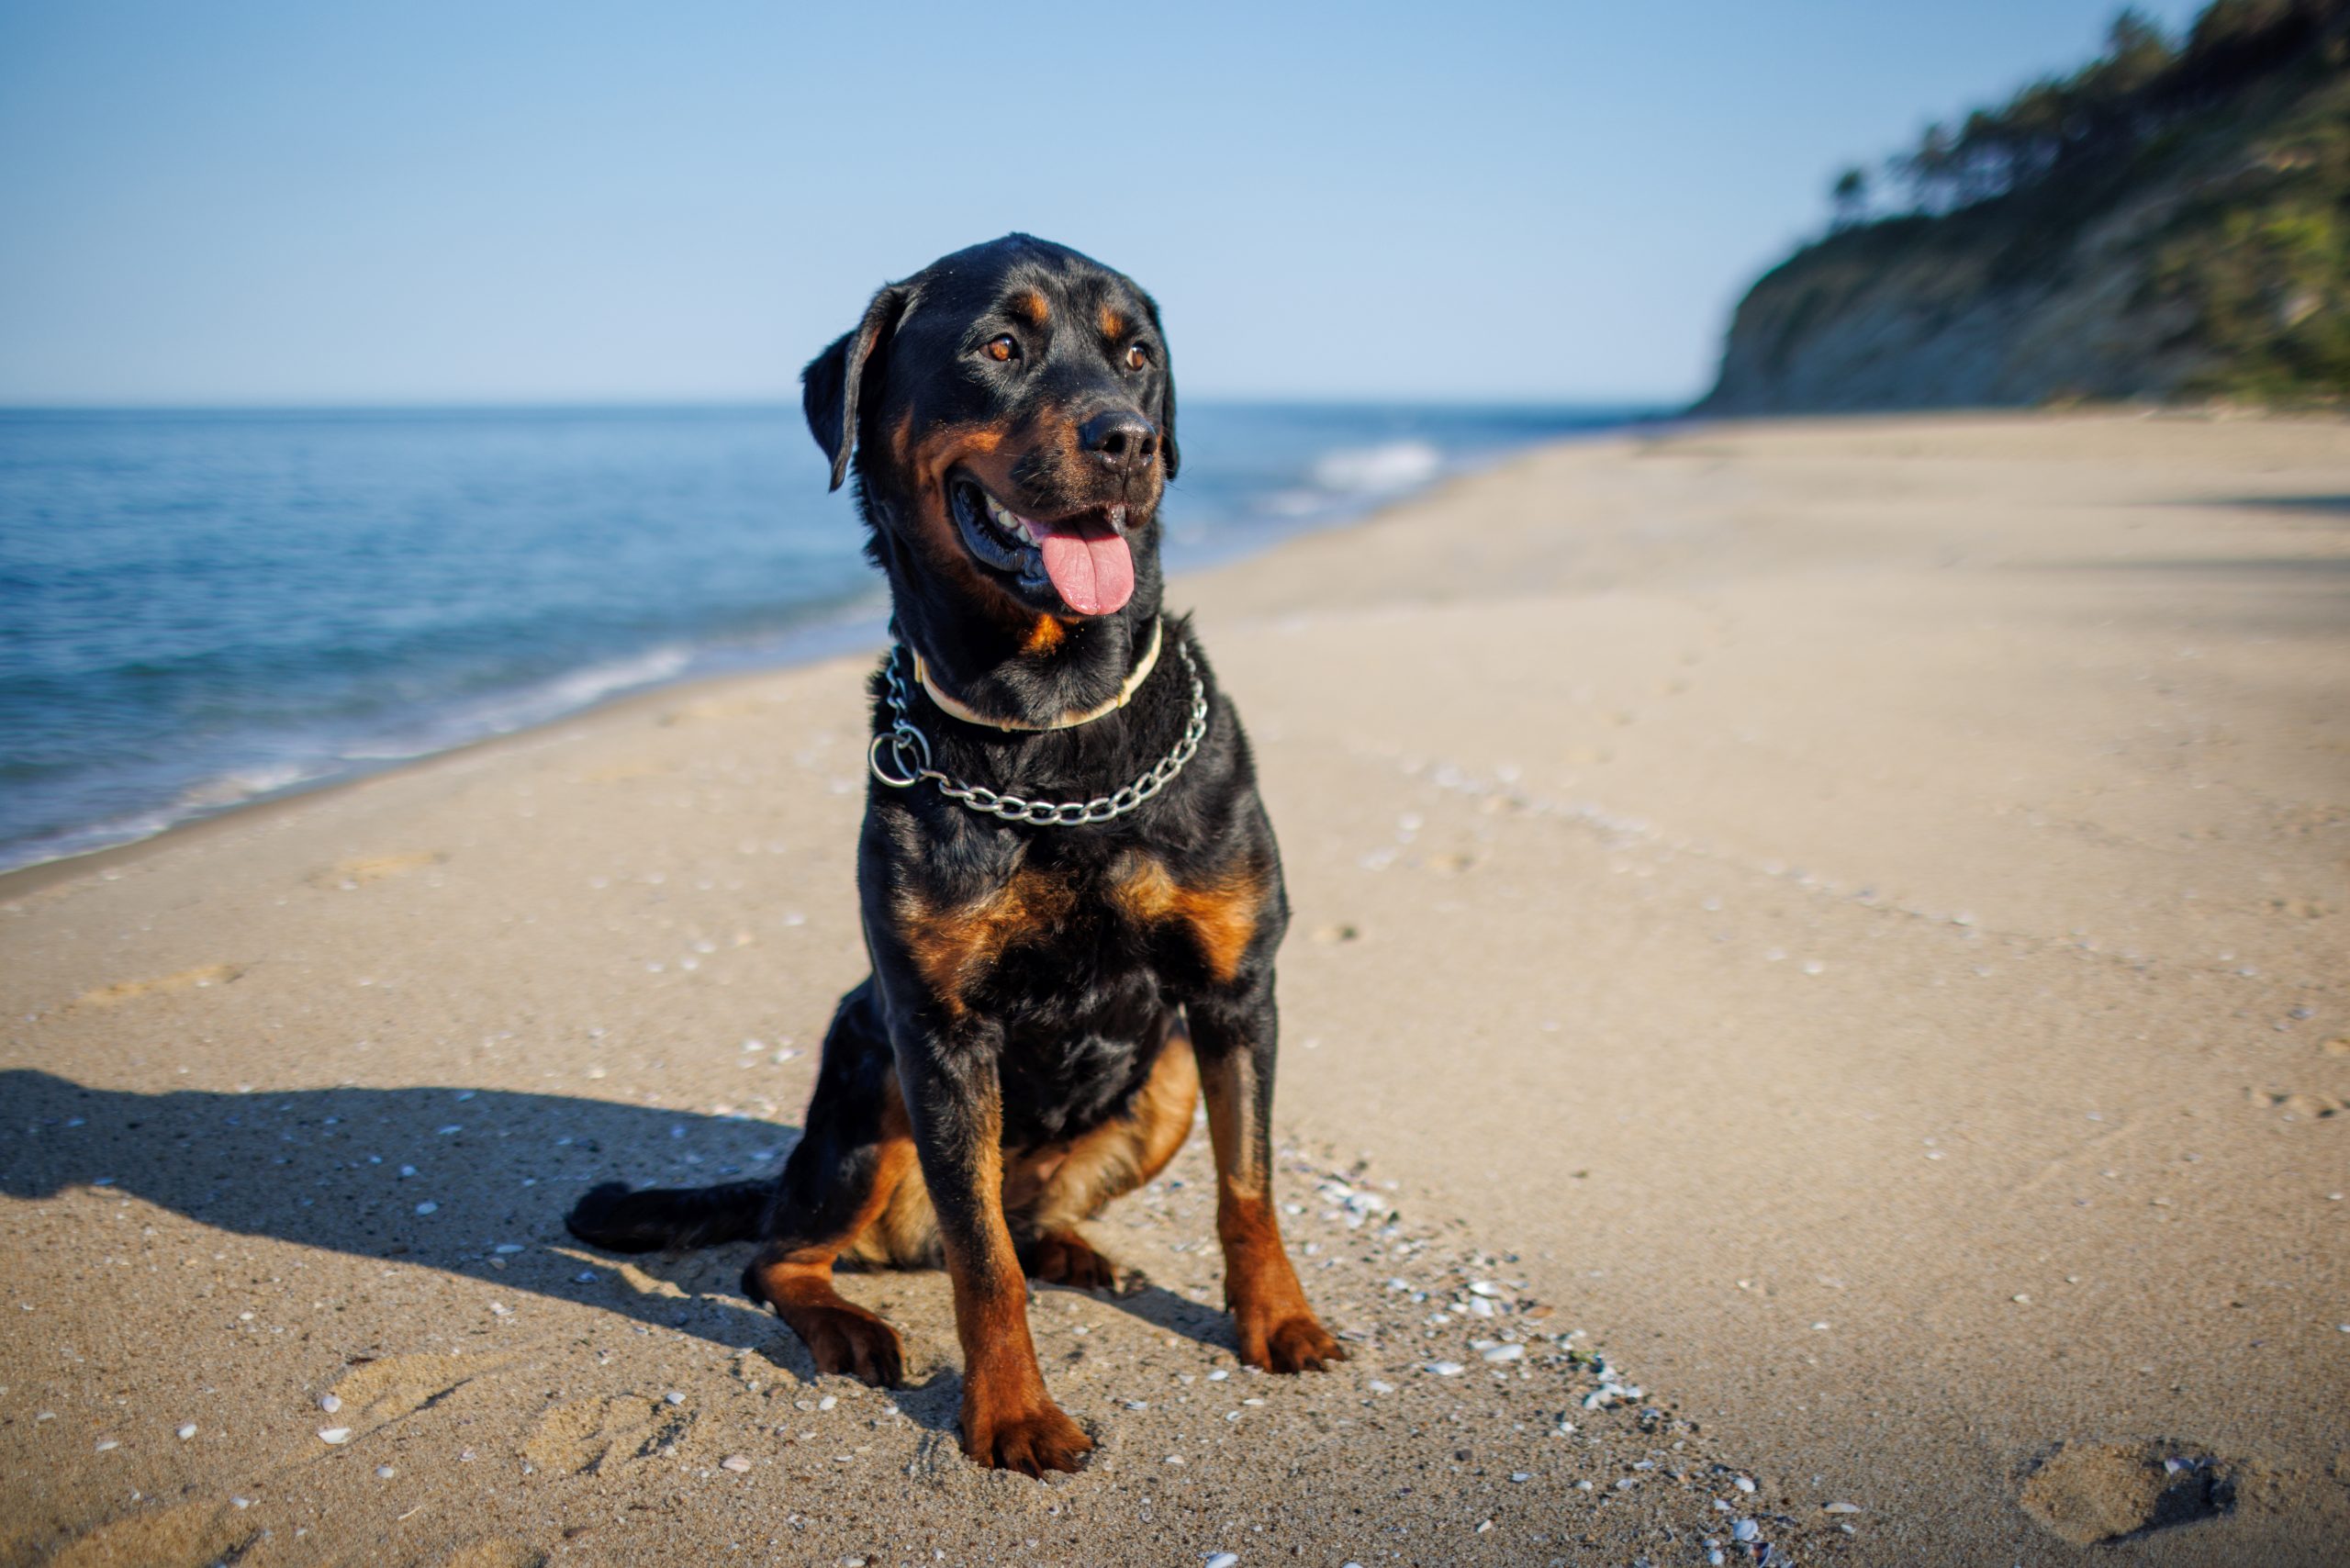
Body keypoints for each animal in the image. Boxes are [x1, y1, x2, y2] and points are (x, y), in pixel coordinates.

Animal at [564, 232, 1344, 1476]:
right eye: (1000, 347)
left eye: (1138, 356)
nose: (1126, 438)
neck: (1050, 725)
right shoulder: (938, 1029)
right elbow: (985, 1266)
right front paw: (1013, 1413)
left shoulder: (1236, 991)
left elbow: (1250, 1186)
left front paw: (1277, 1321)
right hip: (869, 1083)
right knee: (788, 1250)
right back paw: (850, 1323)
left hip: (1168, 1070)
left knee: (1030, 1215)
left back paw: (1075, 1248)